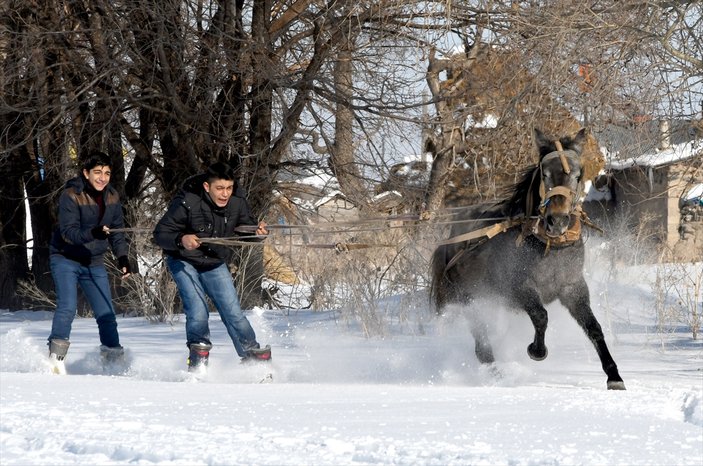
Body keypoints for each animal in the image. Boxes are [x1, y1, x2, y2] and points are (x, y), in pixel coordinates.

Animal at [432, 127, 624, 390]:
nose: (557, 220)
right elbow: (541, 315)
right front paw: (536, 350)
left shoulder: (573, 288)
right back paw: (496, 375)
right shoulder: (518, 288)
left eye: (577, 175)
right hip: (471, 300)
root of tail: (450, 238)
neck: (550, 246)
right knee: (482, 345)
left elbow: (593, 328)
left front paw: (614, 376)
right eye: (545, 173)